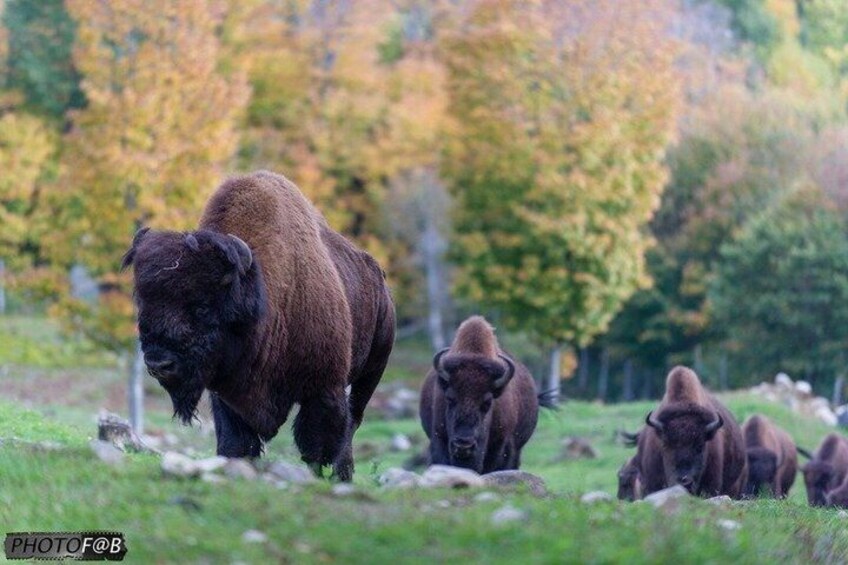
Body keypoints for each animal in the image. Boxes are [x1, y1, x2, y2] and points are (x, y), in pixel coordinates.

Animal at [122, 171, 395, 481]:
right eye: (144, 303)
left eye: (202, 307)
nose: (158, 364)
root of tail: (379, 278)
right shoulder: (228, 396)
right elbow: (237, 443)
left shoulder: (324, 389)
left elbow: (317, 446)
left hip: (371, 372)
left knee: (352, 421)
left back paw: (343, 474)